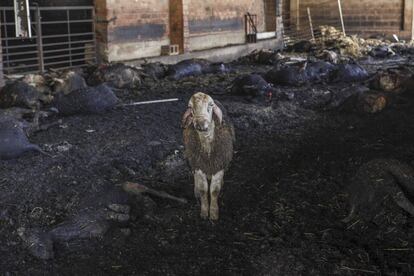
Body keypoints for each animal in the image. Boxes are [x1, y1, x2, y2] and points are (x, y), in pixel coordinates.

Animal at [182, 92, 234, 220]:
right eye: (190, 107)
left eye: (210, 105)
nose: (200, 124)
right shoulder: (199, 165)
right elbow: (203, 190)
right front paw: (205, 211)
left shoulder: (219, 166)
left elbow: (214, 190)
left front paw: (214, 213)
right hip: (192, 159)